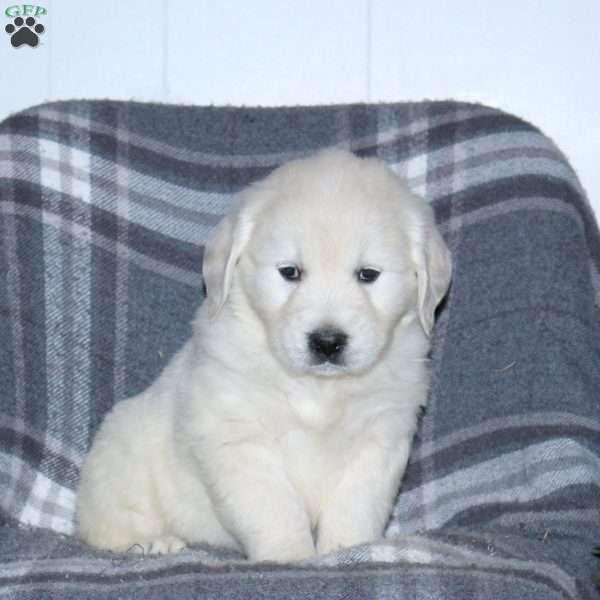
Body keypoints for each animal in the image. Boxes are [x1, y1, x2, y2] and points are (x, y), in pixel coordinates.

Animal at [76, 149, 450, 564]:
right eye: (290, 272)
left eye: (368, 274)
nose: (327, 342)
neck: (319, 390)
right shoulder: (237, 439)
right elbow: (276, 510)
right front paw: (289, 557)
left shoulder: (380, 439)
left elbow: (355, 507)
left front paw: (348, 551)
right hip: (121, 461)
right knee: (103, 528)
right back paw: (154, 544)